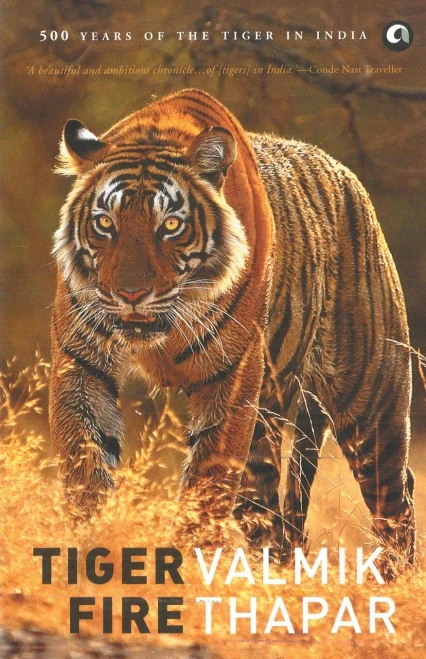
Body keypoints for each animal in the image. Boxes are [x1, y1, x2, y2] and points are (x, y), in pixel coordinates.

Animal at [50, 88, 415, 569]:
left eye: (170, 225)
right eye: (105, 223)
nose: (130, 294)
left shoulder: (232, 374)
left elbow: (206, 485)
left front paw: (186, 564)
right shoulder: (81, 362)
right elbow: (86, 466)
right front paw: (92, 546)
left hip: (370, 402)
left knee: (396, 495)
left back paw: (397, 576)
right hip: (266, 430)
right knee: (275, 518)